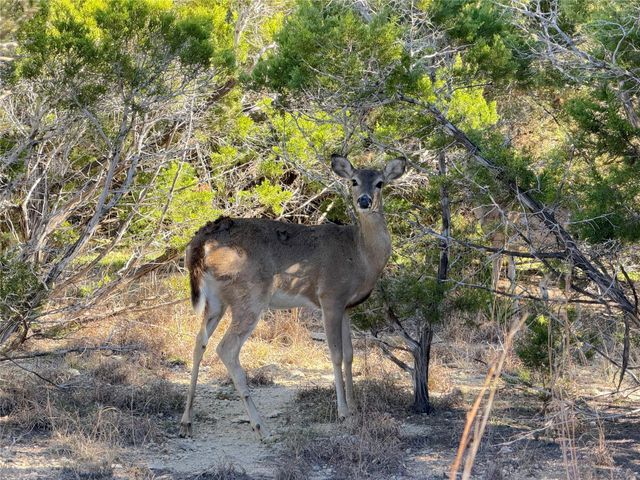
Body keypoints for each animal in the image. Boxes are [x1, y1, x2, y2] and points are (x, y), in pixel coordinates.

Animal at [179, 154, 407, 440]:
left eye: (379, 183)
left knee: (199, 342)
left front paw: (354, 407)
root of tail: (201, 241)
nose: (364, 201)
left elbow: (350, 354)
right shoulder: (330, 296)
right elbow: (335, 354)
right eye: (354, 181)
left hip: (215, 300)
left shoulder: (346, 306)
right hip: (250, 294)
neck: (360, 254)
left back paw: (186, 422)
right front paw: (343, 412)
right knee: (226, 348)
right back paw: (260, 425)